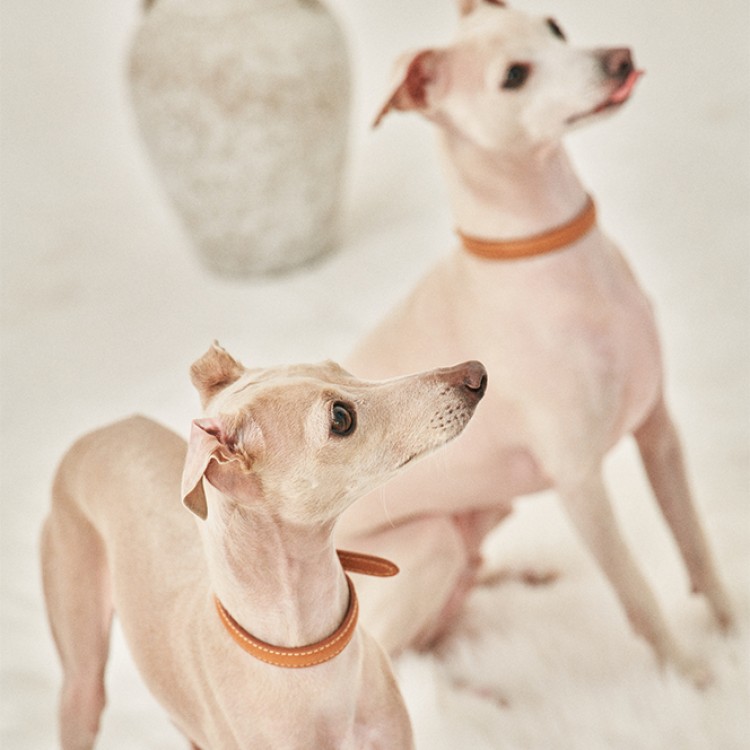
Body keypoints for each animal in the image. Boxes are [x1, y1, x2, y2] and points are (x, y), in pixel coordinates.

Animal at [41, 342, 487, 749]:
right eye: (341, 417)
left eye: (338, 368)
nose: (475, 374)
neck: (309, 660)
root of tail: (101, 431)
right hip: (81, 675)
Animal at [336, 0, 733, 683]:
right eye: (514, 76)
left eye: (554, 26)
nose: (619, 59)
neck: (550, 252)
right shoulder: (580, 481)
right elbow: (640, 597)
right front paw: (693, 680)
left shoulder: (659, 429)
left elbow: (697, 547)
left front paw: (735, 635)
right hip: (428, 545)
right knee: (395, 660)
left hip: (481, 521)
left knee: (462, 595)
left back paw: (526, 575)